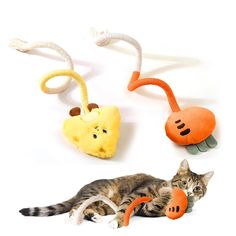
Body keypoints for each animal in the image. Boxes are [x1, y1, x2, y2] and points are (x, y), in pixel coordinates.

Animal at [19, 159, 213, 228]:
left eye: (197, 188)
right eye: (184, 183)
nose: (188, 192)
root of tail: (81, 189)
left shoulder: (148, 209)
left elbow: (155, 205)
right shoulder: (137, 194)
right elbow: (127, 208)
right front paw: (117, 222)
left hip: (103, 206)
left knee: (89, 209)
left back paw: (95, 217)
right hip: (96, 193)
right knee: (74, 207)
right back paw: (75, 217)